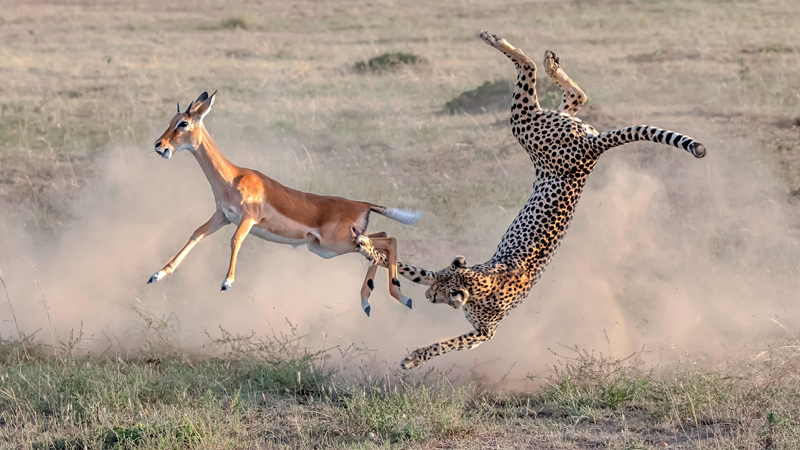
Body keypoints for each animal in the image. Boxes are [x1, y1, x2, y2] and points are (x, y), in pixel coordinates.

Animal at [372, 31, 704, 370]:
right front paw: (366, 246)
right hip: (553, 125)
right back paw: (548, 62)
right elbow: (402, 265)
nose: (427, 298)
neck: (477, 282)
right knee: (576, 97)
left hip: (528, 129)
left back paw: (499, 41)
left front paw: (414, 357)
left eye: (438, 294)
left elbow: (444, 344)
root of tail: (593, 147)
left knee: (530, 74)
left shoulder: (483, 334)